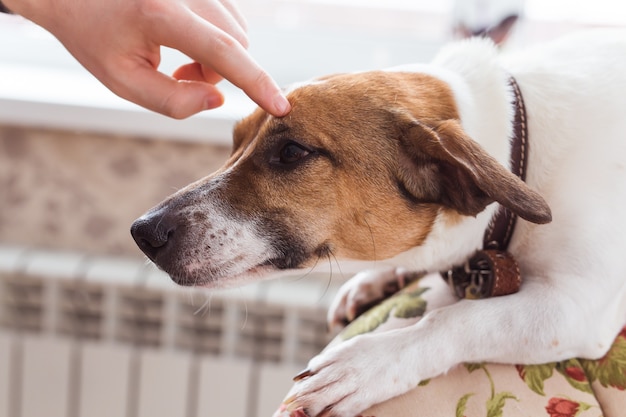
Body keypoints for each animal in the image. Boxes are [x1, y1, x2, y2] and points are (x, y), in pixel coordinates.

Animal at [130, 30, 624, 416]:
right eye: (234, 142)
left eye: (291, 152)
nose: (142, 232)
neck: (519, 143)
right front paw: (376, 280)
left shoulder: (573, 310)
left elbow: (458, 320)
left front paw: (366, 365)